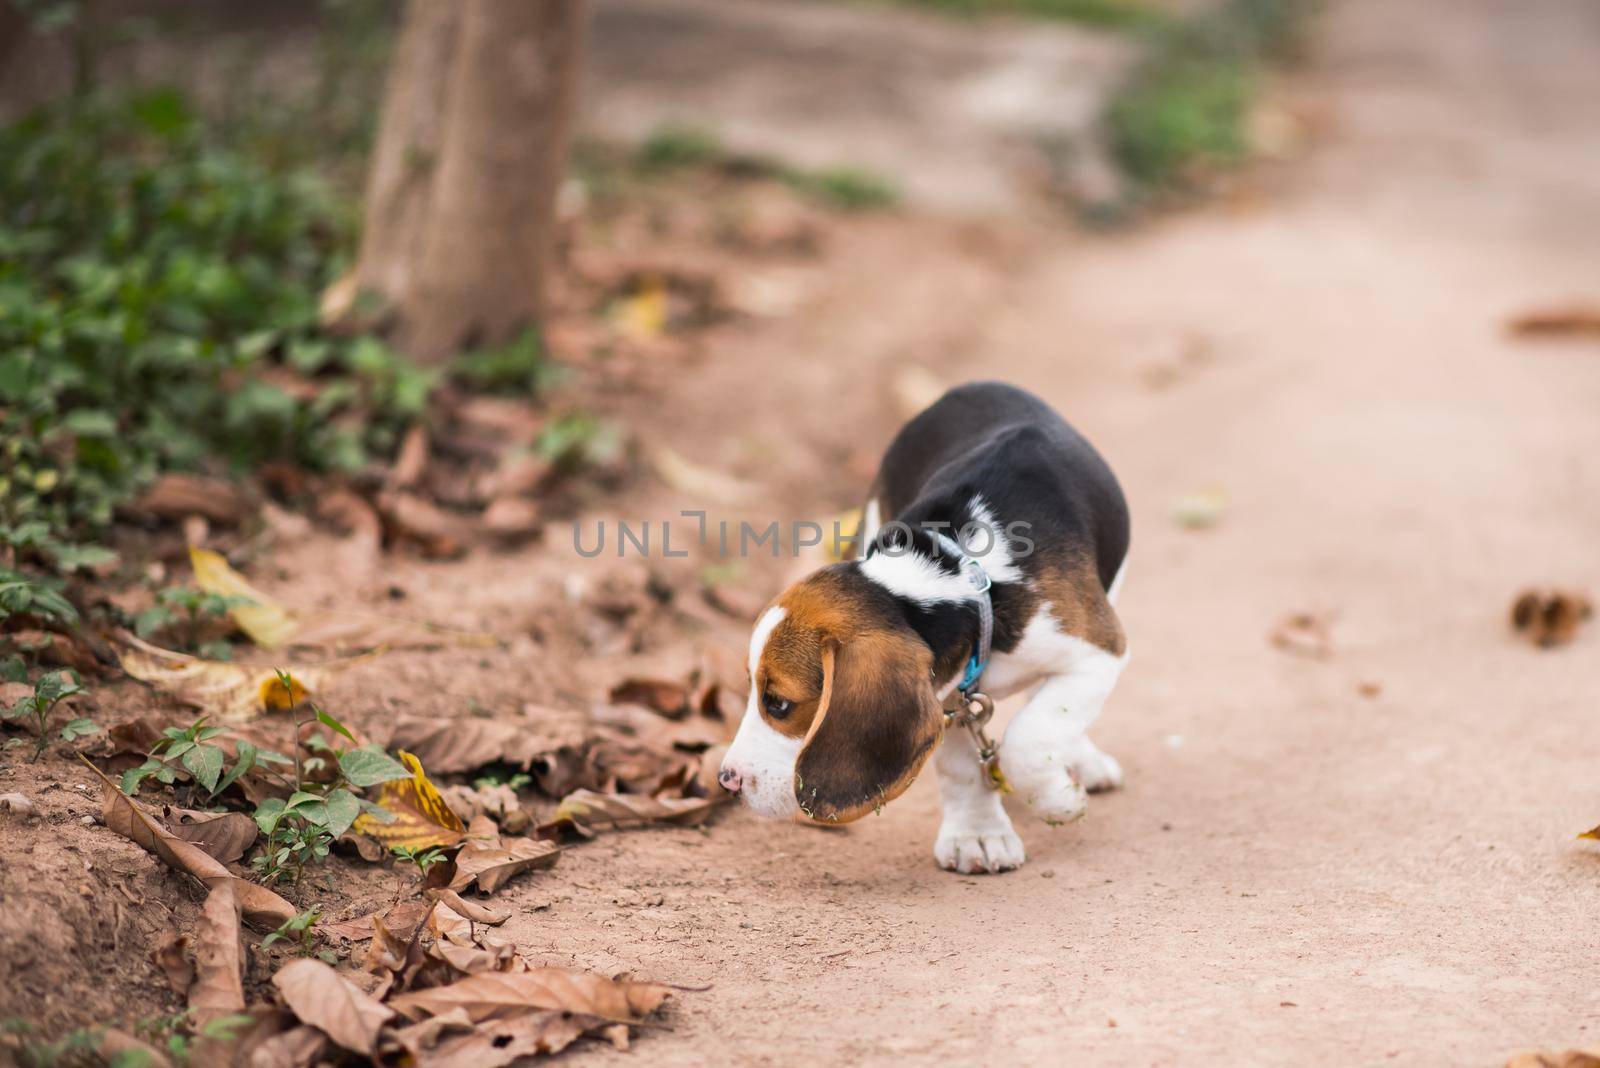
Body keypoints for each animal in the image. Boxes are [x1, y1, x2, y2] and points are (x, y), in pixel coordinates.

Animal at [720, 378, 1132, 869]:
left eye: (779, 703)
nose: (726, 780)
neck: (960, 577)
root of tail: (976, 385)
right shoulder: (947, 693)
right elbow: (960, 765)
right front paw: (977, 833)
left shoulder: (1096, 652)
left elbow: (1028, 738)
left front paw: (1059, 800)